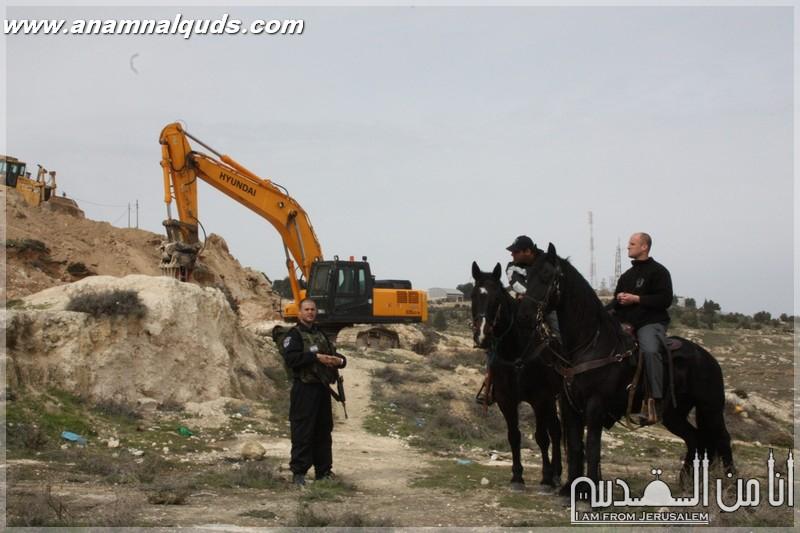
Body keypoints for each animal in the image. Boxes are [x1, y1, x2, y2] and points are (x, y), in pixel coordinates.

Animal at [468, 262, 564, 490]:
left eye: (496, 298)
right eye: (473, 296)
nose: (482, 336)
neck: (517, 352)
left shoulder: (540, 399)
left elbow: (541, 437)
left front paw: (546, 477)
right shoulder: (507, 400)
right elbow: (514, 436)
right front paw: (517, 476)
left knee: (556, 432)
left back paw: (556, 474)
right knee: (555, 428)